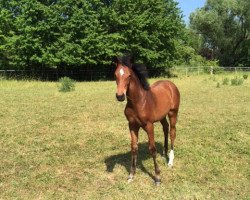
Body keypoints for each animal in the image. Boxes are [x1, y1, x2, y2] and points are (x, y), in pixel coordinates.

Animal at [113, 54, 180, 184]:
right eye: (115, 75)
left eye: (129, 76)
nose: (120, 96)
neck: (138, 101)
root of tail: (170, 84)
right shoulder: (132, 125)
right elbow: (134, 148)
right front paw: (131, 175)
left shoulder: (149, 125)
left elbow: (152, 149)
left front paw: (157, 177)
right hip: (162, 116)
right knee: (165, 128)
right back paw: (164, 153)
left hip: (173, 113)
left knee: (172, 132)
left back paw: (170, 161)